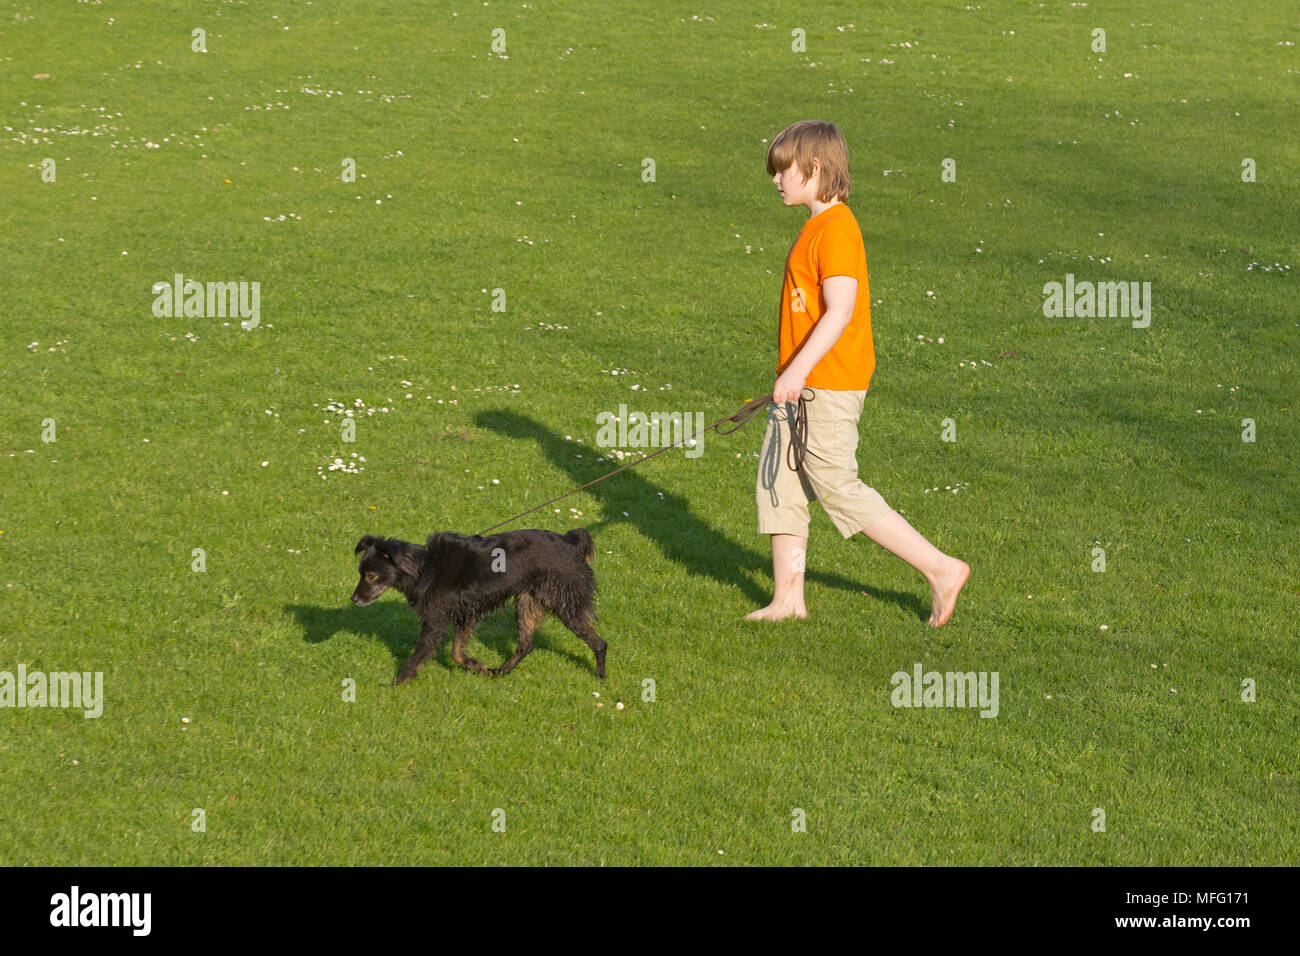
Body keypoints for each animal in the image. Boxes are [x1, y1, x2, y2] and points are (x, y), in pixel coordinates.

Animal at [351, 530, 603, 681]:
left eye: (371, 576)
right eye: (361, 573)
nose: (353, 599)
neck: (423, 567)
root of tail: (571, 542)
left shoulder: (435, 622)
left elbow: (418, 655)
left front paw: (397, 684)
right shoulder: (464, 615)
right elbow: (456, 653)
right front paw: (477, 667)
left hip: (567, 606)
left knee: (600, 643)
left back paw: (601, 678)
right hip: (526, 603)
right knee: (526, 645)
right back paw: (500, 671)